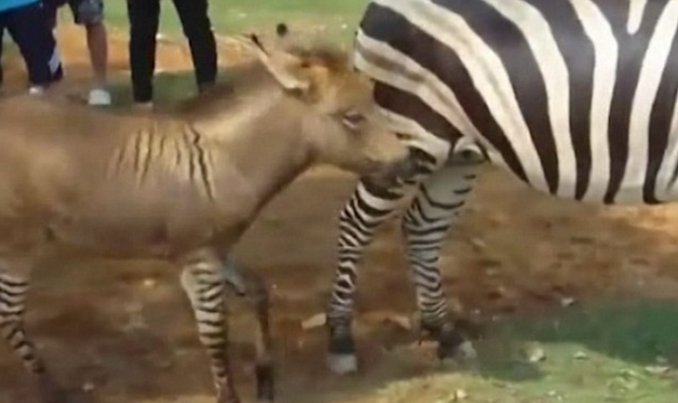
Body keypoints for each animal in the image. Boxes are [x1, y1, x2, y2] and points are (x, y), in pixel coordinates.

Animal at [325, 0, 678, 373]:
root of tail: (377, 5)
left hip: (457, 153)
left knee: (422, 228)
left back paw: (445, 333)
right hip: (409, 136)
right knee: (357, 223)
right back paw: (341, 339)